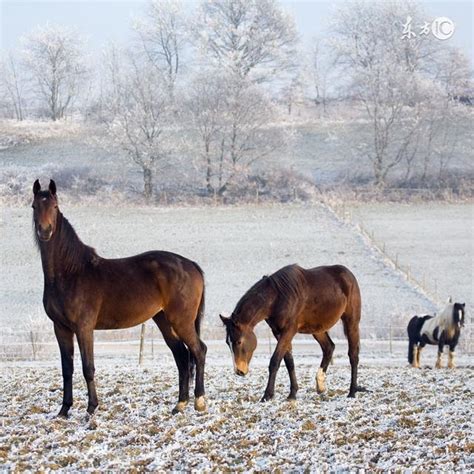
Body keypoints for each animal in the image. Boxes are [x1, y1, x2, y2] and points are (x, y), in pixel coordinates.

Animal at [31, 180, 206, 416]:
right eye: (34, 206)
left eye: (55, 206)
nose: (45, 231)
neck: (70, 273)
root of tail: (191, 265)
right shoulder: (61, 328)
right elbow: (67, 369)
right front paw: (64, 410)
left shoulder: (84, 328)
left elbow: (88, 368)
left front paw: (91, 408)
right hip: (164, 321)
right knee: (182, 357)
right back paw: (180, 404)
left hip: (182, 321)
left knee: (199, 351)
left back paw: (199, 402)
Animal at [221, 262, 362, 400]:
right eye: (228, 343)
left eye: (239, 342)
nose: (239, 371)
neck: (277, 298)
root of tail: (348, 274)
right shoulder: (278, 332)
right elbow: (289, 361)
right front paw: (292, 394)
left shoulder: (289, 331)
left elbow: (275, 361)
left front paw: (267, 395)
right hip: (317, 329)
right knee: (329, 348)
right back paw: (320, 385)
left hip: (351, 323)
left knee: (353, 355)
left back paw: (352, 392)